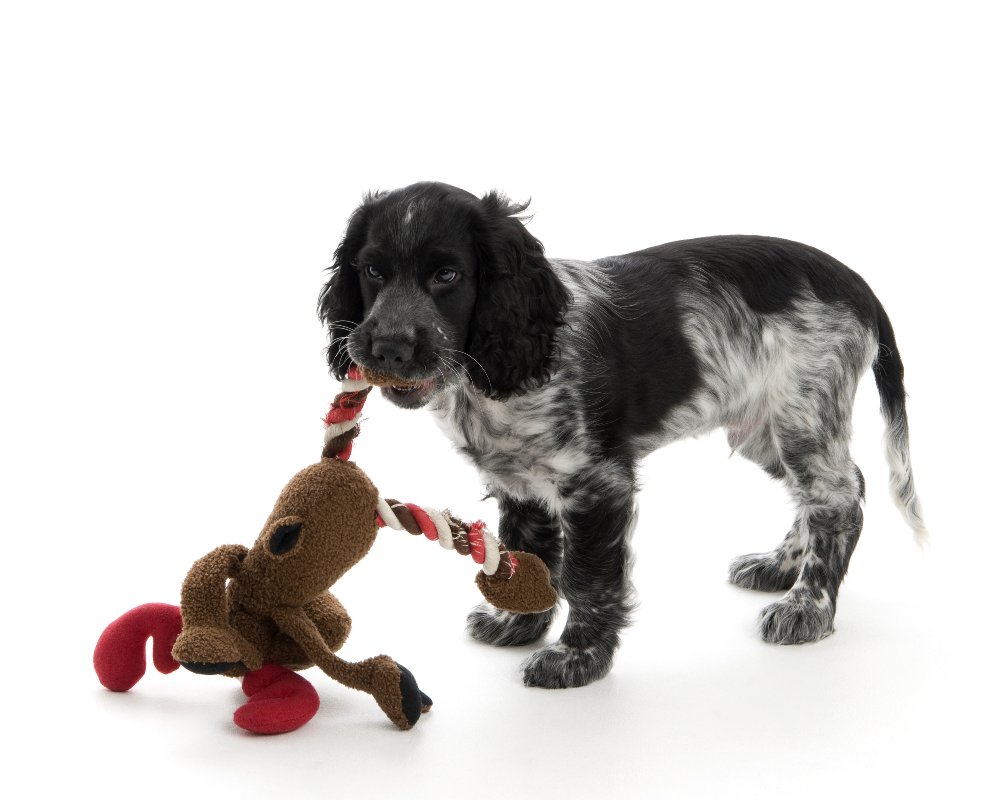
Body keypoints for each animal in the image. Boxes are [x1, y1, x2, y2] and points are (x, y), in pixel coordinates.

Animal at [316, 181, 924, 688]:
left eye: (447, 276)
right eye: (372, 272)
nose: (387, 347)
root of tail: (856, 284)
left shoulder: (595, 483)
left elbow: (588, 577)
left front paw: (577, 658)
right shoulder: (519, 479)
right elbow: (528, 554)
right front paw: (517, 620)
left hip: (802, 414)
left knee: (838, 498)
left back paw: (807, 607)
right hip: (765, 427)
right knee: (831, 489)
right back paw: (780, 566)